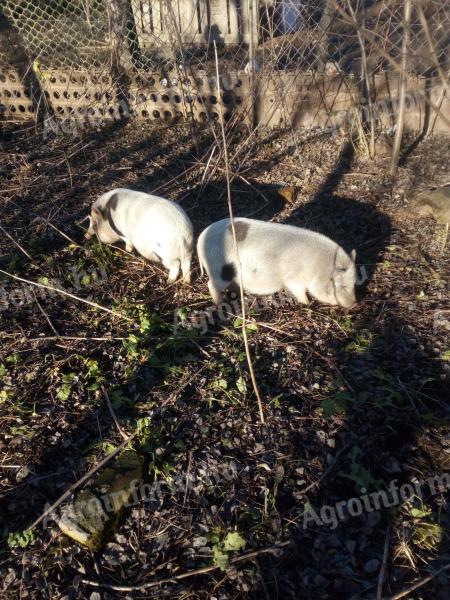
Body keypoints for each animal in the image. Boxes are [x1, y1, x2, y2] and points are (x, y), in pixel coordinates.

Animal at [197, 217, 356, 310]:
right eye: (341, 285)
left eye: (354, 284)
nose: (355, 304)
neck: (317, 269)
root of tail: (200, 240)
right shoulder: (293, 279)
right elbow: (299, 291)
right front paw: (306, 304)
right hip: (219, 271)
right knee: (211, 285)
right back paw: (220, 304)